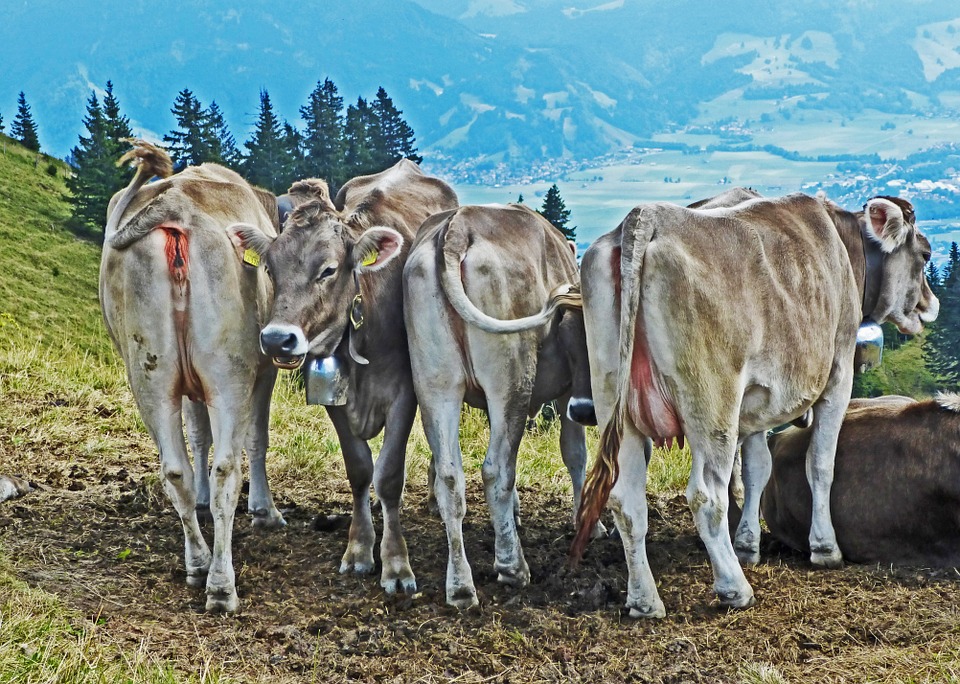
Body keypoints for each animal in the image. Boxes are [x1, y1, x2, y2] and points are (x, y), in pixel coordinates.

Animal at [102, 140, 286, 616]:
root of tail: (177, 205)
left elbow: (197, 434)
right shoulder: (263, 374)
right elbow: (255, 439)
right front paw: (265, 511)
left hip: (149, 374)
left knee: (175, 469)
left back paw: (198, 562)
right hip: (229, 373)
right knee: (226, 471)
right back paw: (221, 584)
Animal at [231, 159, 460, 592]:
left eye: (329, 269)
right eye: (270, 268)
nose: (277, 339)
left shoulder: (404, 394)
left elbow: (389, 476)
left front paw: (396, 563)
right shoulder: (332, 396)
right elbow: (359, 469)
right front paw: (359, 549)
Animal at [404, 202, 600, 604]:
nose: (587, 409)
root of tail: (458, 226)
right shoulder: (567, 393)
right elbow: (575, 453)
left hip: (434, 385)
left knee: (450, 476)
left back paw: (460, 585)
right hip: (510, 382)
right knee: (496, 470)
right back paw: (512, 566)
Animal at [568, 190, 936, 616]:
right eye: (925, 254)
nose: (930, 305)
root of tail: (646, 217)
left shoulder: (757, 403)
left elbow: (758, 468)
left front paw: (747, 543)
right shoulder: (838, 374)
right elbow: (820, 463)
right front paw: (825, 548)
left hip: (616, 401)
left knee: (626, 501)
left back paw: (645, 600)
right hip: (712, 402)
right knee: (706, 496)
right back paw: (734, 588)